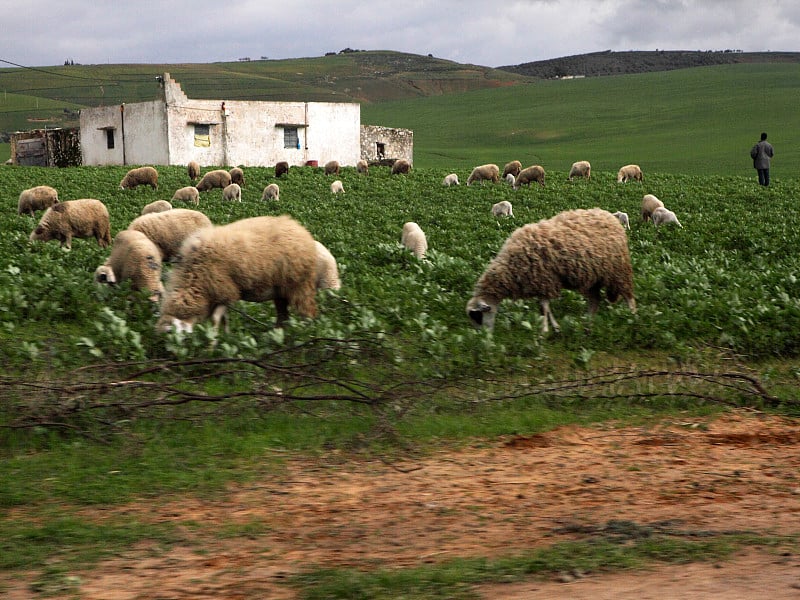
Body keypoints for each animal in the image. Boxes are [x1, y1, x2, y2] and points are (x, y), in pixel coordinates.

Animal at [156, 214, 318, 332]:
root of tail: (300, 229)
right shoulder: (219, 296)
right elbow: (223, 319)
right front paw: (226, 336)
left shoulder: (226, 292)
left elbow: (216, 319)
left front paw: (213, 342)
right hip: (280, 291)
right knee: (283, 316)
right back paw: (278, 334)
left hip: (299, 285)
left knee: (308, 312)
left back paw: (307, 333)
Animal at [466, 207, 636, 332]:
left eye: (478, 316)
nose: (483, 337)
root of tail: (609, 216)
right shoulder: (542, 283)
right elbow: (545, 307)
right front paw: (554, 327)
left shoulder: (546, 279)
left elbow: (544, 307)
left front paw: (545, 330)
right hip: (591, 277)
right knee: (594, 301)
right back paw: (587, 323)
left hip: (618, 270)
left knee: (628, 295)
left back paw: (633, 318)